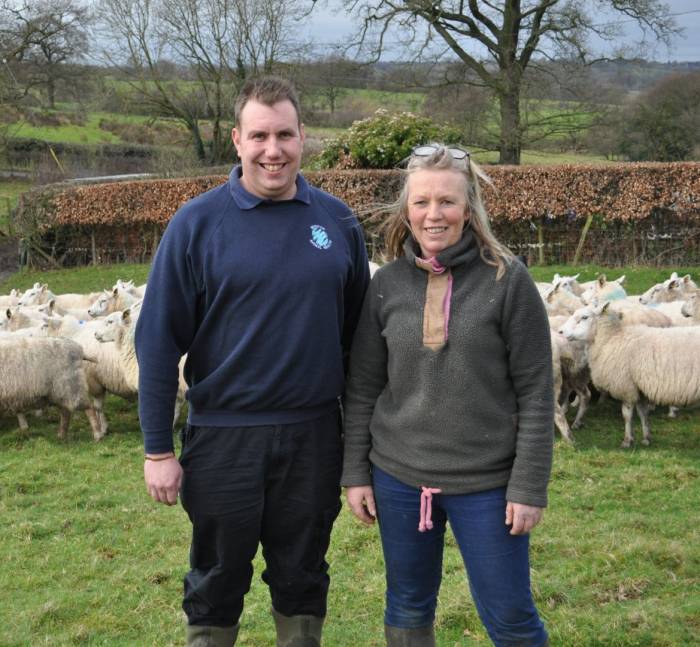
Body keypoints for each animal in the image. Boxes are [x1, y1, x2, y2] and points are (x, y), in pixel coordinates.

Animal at [560, 302, 700, 446]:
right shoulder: (638, 386)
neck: (611, 339)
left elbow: (627, 415)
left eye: (584, 317)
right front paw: (646, 438)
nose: (561, 331)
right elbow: (643, 413)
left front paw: (627, 440)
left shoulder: (626, 386)